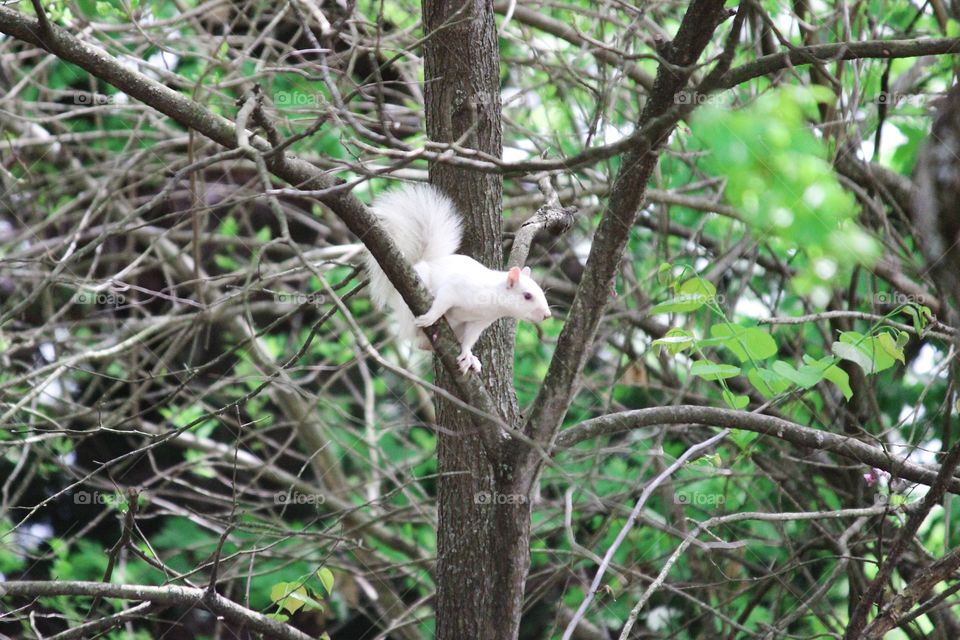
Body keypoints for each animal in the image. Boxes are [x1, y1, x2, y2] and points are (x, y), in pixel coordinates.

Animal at [364, 184, 552, 376]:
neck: (492, 301)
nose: (547, 315)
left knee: (424, 346)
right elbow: (442, 303)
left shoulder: (478, 322)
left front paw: (467, 355)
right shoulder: (455, 289)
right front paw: (430, 317)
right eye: (527, 296)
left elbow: (470, 339)